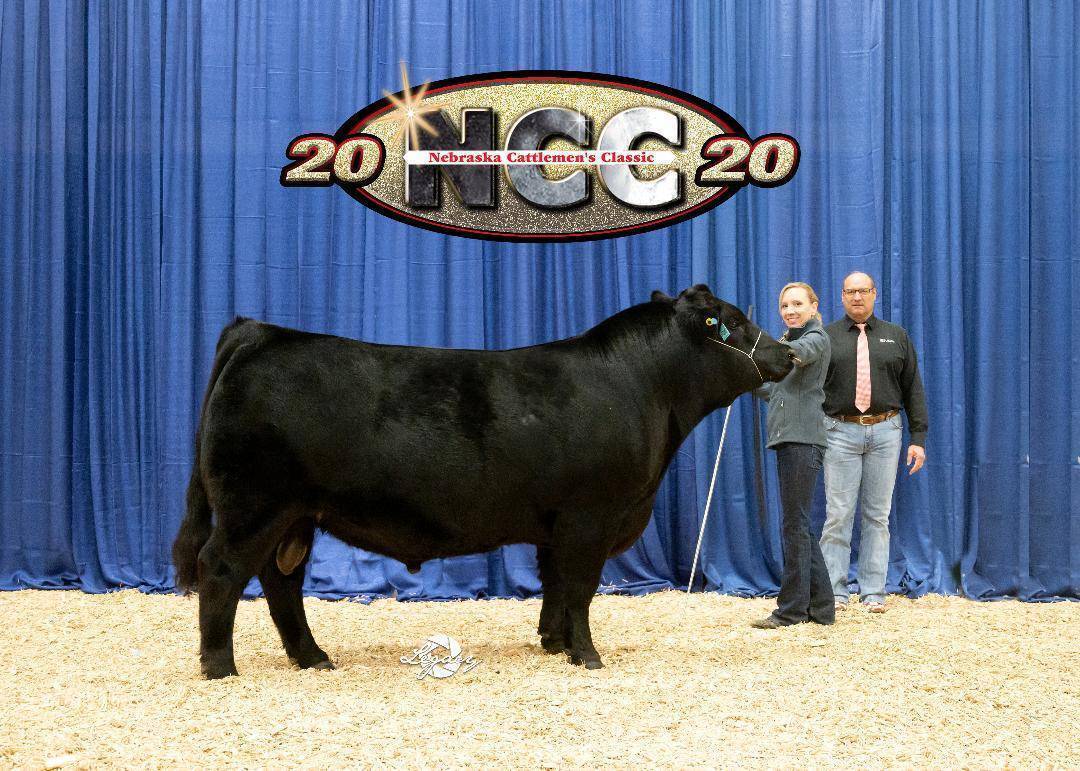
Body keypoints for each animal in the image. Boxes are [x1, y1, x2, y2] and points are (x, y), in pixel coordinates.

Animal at [172, 284, 794, 678]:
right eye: (733, 323)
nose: (787, 352)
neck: (645, 391)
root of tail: (262, 333)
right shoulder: (590, 515)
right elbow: (581, 587)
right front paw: (588, 656)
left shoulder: (555, 524)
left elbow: (556, 586)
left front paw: (553, 644)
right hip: (255, 504)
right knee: (221, 569)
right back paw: (220, 667)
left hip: (295, 515)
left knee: (281, 584)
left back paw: (312, 658)